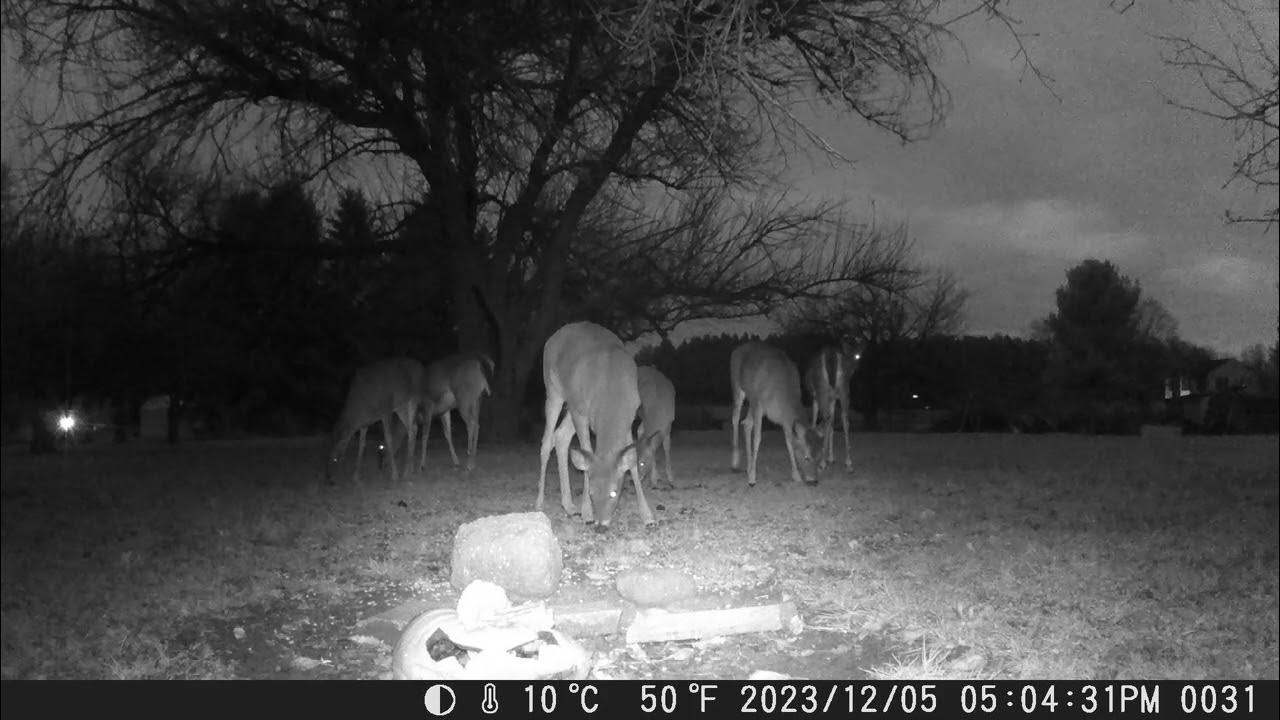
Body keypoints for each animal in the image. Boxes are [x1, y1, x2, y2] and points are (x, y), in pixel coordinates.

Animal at [327, 356, 426, 485]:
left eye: (335, 459)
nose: (329, 478)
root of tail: (421, 367)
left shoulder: (386, 410)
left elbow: (388, 439)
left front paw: (395, 475)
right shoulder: (364, 424)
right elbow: (362, 444)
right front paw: (356, 476)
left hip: (413, 398)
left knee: (412, 427)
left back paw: (406, 472)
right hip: (400, 406)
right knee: (412, 428)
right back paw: (410, 470)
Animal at [535, 321, 660, 530]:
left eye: (614, 492)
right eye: (592, 492)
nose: (601, 525)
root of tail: (552, 338)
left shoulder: (629, 418)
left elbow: (632, 460)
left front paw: (648, 516)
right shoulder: (580, 412)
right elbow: (586, 453)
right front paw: (587, 513)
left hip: (571, 404)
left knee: (561, 437)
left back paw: (569, 506)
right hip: (554, 390)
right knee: (547, 441)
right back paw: (539, 503)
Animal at [729, 341, 820, 486]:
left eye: (819, 456)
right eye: (806, 457)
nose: (814, 481)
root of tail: (737, 349)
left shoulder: (786, 420)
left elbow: (789, 442)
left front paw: (796, 476)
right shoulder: (760, 404)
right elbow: (758, 438)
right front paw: (752, 478)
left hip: (752, 400)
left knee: (747, 423)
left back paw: (748, 467)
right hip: (738, 386)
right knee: (736, 418)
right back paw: (735, 463)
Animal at [804, 342, 861, 472]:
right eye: (855, 355)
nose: (854, 367)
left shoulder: (815, 397)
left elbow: (814, 422)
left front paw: (811, 455)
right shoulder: (833, 398)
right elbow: (832, 423)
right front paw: (831, 458)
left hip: (821, 389)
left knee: (826, 418)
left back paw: (822, 463)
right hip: (844, 388)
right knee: (844, 419)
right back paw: (848, 463)